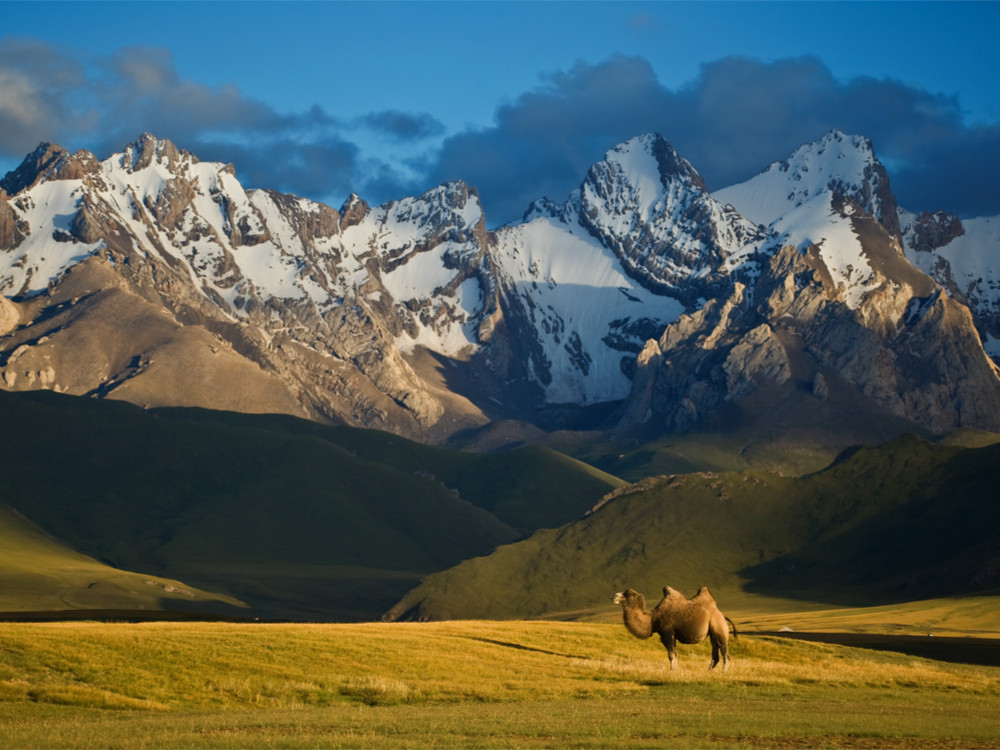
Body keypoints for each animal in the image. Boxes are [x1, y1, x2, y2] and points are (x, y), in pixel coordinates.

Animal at [608, 584, 736, 672]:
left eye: (627, 594)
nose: (613, 596)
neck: (653, 619)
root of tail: (722, 615)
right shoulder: (673, 636)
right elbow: (675, 654)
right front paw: (675, 670)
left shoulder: (667, 633)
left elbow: (671, 655)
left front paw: (672, 671)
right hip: (712, 634)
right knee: (715, 654)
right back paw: (708, 672)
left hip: (719, 628)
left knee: (725, 653)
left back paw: (723, 672)